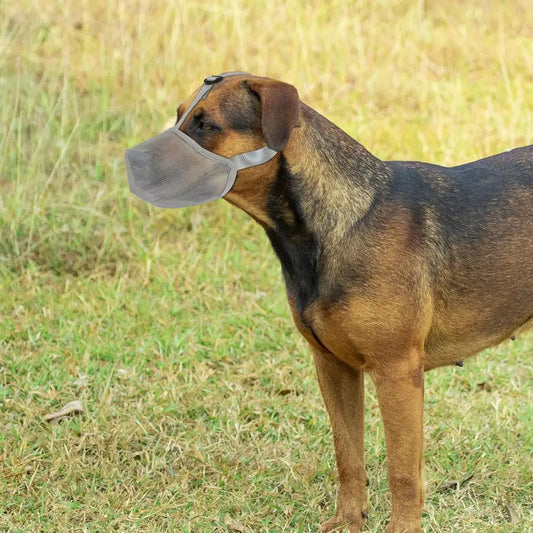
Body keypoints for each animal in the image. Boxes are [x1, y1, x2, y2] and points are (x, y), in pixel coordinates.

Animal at [125, 72, 532, 528]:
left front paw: (401, 527)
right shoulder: (333, 367)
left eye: (206, 125)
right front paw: (349, 521)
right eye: (179, 115)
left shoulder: (397, 373)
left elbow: (402, 470)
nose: (131, 162)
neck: (334, 225)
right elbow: (348, 454)